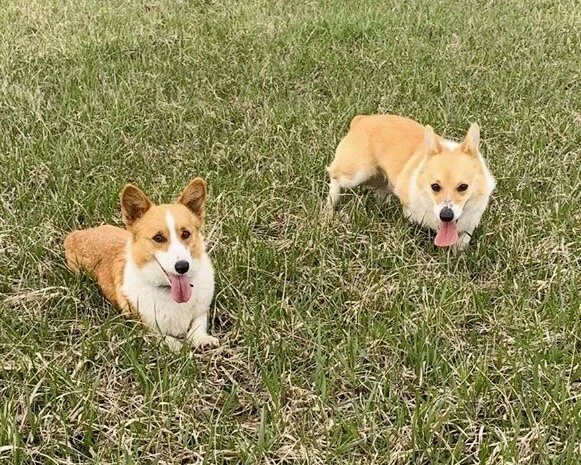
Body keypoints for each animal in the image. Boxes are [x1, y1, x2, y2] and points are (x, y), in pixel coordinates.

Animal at [63, 177, 218, 348]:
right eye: (158, 238)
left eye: (186, 234)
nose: (183, 266)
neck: (168, 291)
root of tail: (75, 235)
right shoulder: (145, 326)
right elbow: (163, 337)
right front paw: (176, 345)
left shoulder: (202, 309)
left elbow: (199, 322)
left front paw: (201, 338)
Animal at [324, 114, 496, 248]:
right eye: (435, 186)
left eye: (463, 187)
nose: (446, 215)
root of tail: (361, 120)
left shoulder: (472, 220)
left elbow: (464, 237)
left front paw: (458, 250)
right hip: (357, 174)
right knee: (335, 176)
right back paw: (330, 208)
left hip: (377, 178)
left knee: (380, 190)